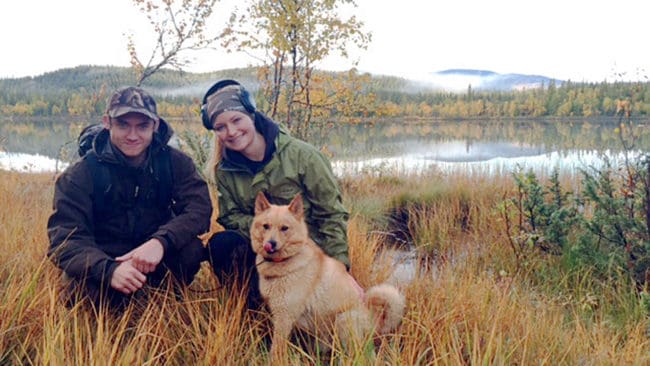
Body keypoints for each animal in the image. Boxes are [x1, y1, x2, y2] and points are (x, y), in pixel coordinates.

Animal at [249, 193, 404, 362]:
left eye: (284, 228)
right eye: (266, 226)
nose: (270, 244)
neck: (286, 262)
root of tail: (375, 322)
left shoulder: (284, 318)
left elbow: (276, 350)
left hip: (343, 322)